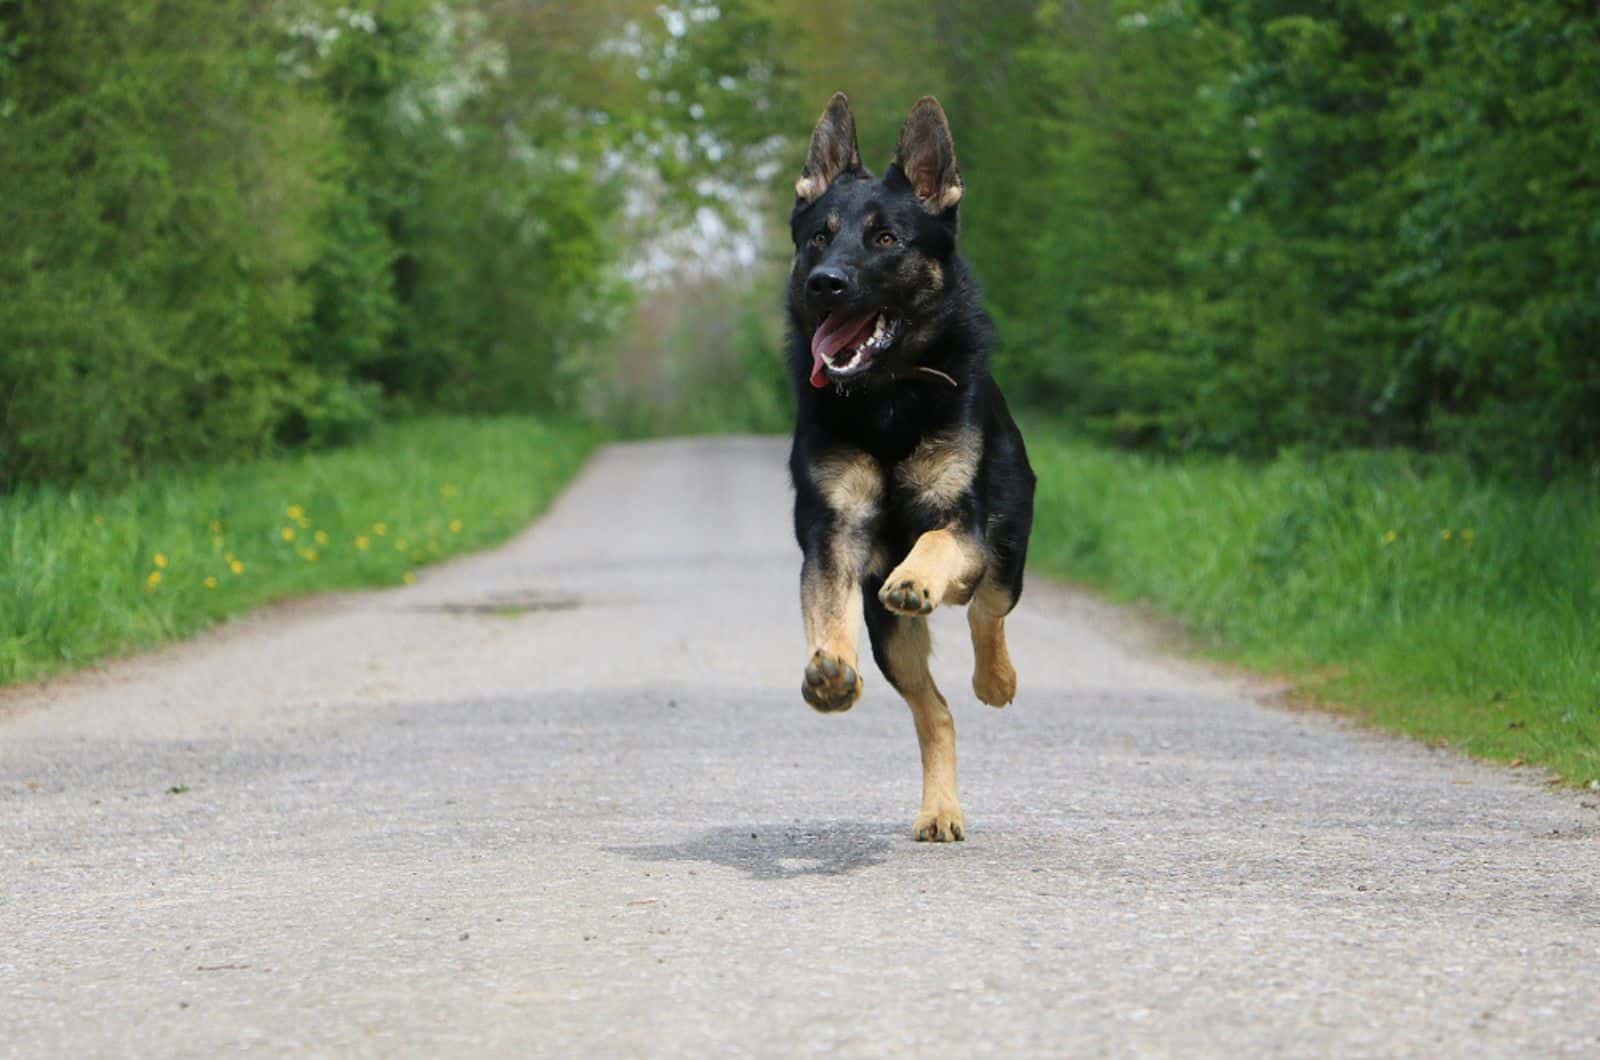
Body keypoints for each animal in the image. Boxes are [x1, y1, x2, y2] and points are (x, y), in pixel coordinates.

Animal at [787, 95, 1036, 845]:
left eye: (886, 239)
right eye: (818, 237)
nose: (825, 283)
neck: (887, 396)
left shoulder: (962, 524)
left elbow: (933, 544)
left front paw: (917, 578)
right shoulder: (832, 534)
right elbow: (826, 608)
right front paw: (831, 669)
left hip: (1006, 551)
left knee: (986, 611)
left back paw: (995, 679)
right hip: (891, 639)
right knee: (937, 713)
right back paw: (940, 808)